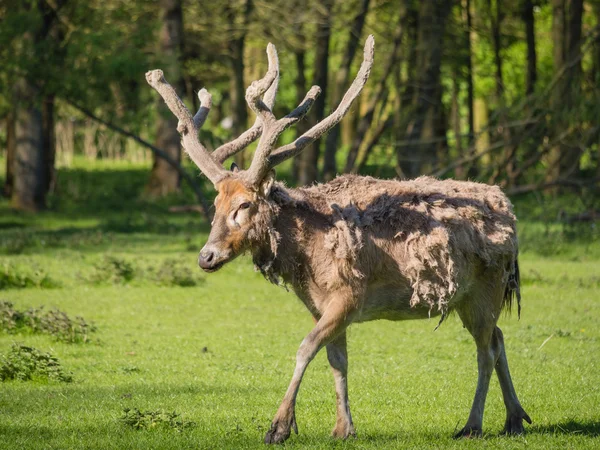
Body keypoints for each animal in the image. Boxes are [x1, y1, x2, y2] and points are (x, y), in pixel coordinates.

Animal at [145, 34, 528, 442]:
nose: (207, 256)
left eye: (245, 204)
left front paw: (279, 426)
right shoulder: (322, 304)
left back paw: (472, 425)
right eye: (215, 203)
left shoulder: (349, 295)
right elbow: (336, 358)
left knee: (486, 349)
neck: (308, 260)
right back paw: (515, 418)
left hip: (487, 286)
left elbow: (305, 348)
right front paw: (343, 427)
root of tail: (508, 209)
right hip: (470, 297)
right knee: (499, 338)